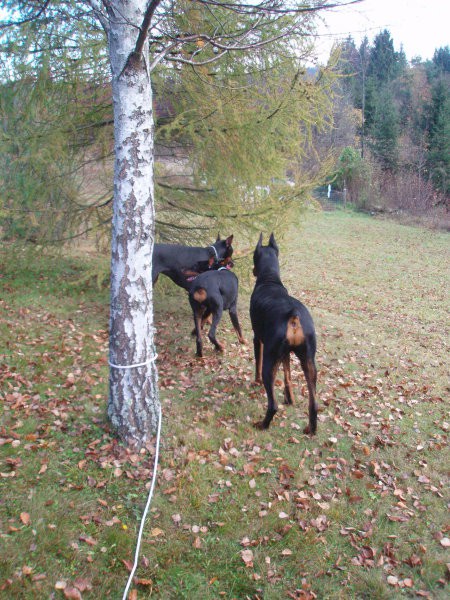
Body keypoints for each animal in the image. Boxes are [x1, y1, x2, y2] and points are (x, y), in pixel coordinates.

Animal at [250, 232, 320, 434]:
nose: (253, 271)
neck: (269, 279)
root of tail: (293, 315)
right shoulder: (285, 353)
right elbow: (288, 373)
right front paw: (290, 398)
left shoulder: (258, 339)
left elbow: (257, 362)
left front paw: (255, 382)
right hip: (308, 359)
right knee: (314, 402)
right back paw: (310, 429)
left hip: (270, 358)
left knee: (272, 404)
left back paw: (262, 424)